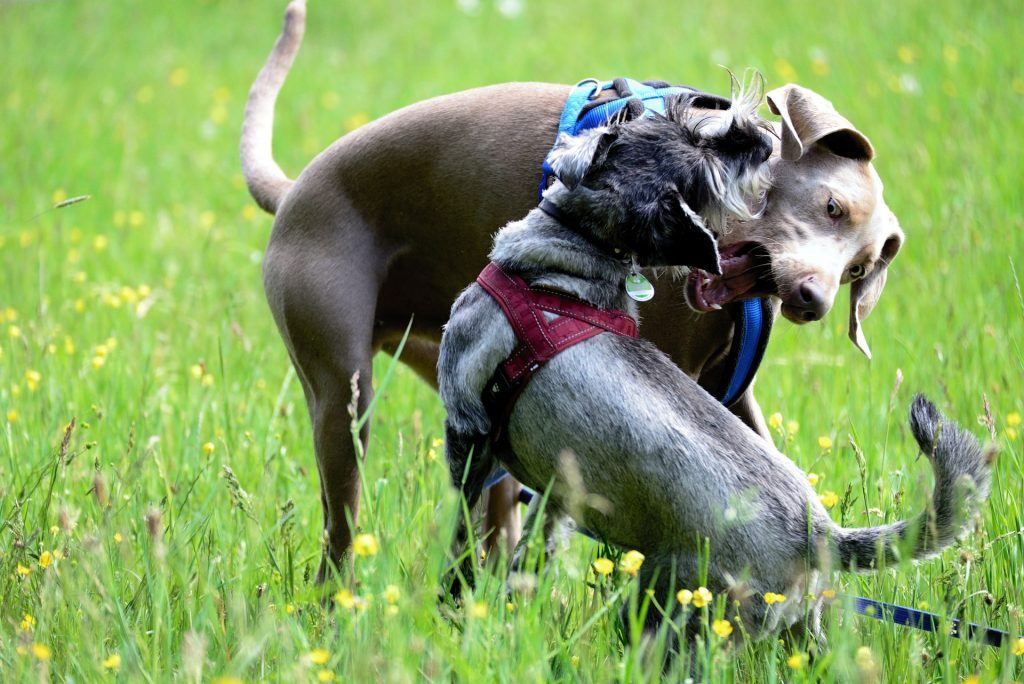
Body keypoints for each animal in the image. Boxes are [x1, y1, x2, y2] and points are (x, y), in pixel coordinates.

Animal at [245, 0, 905, 581]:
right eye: (831, 206)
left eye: (859, 269)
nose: (811, 300)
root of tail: (293, 189)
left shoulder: (728, 394)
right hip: (344, 399)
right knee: (345, 538)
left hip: (462, 385)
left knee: (490, 517)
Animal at [434, 93, 991, 651]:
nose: (759, 137)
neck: (567, 268)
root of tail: (818, 534)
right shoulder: (556, 498)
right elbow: (533, 548)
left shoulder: (466, 426)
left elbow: (463, 526)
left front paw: (452, 600)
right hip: (799, 628)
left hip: (676, 614)